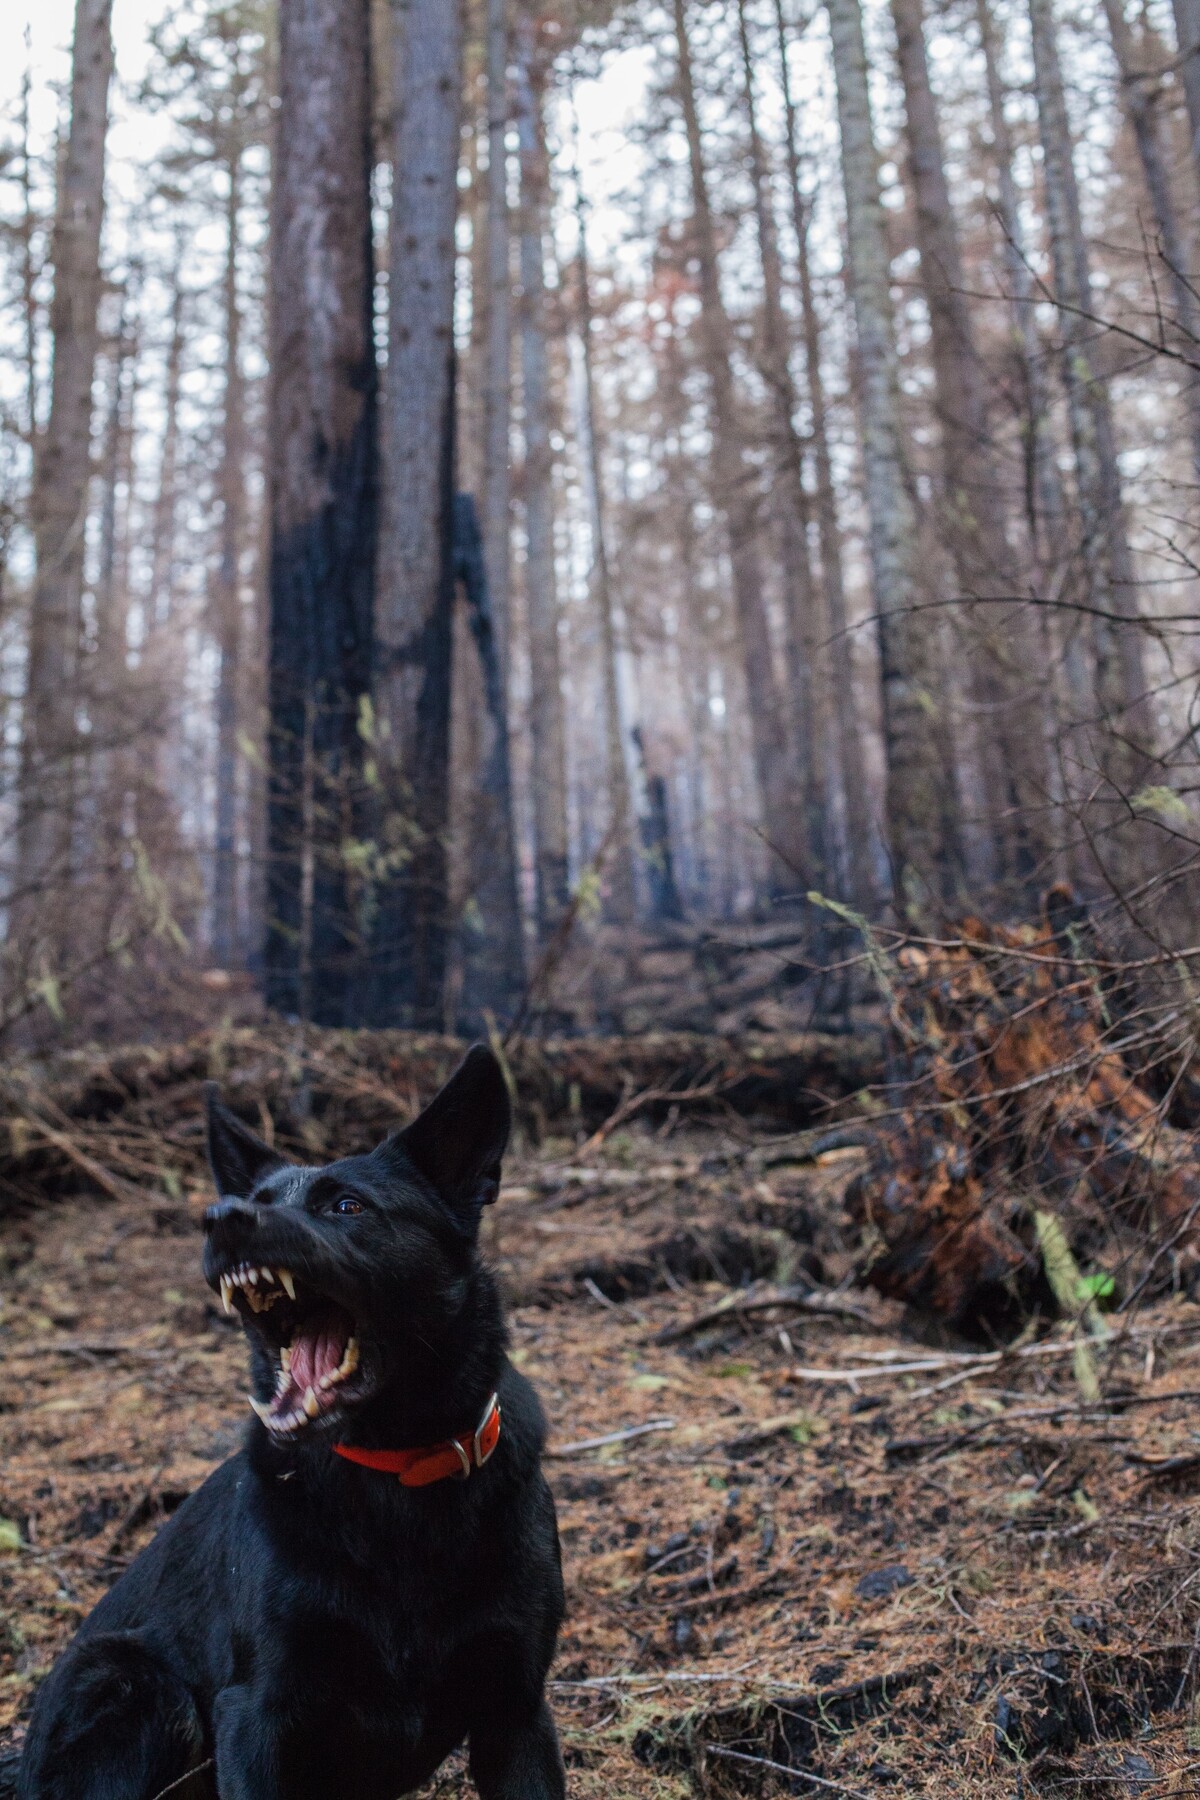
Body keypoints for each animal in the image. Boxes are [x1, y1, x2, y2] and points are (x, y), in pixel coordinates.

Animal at [14, 1051, 568, 1800]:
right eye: (260, 1198)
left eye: (347, 1206)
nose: (220, 1217)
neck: (395, 1474)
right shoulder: (258, 1711)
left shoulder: (516, 1712)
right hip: (138, 1686)